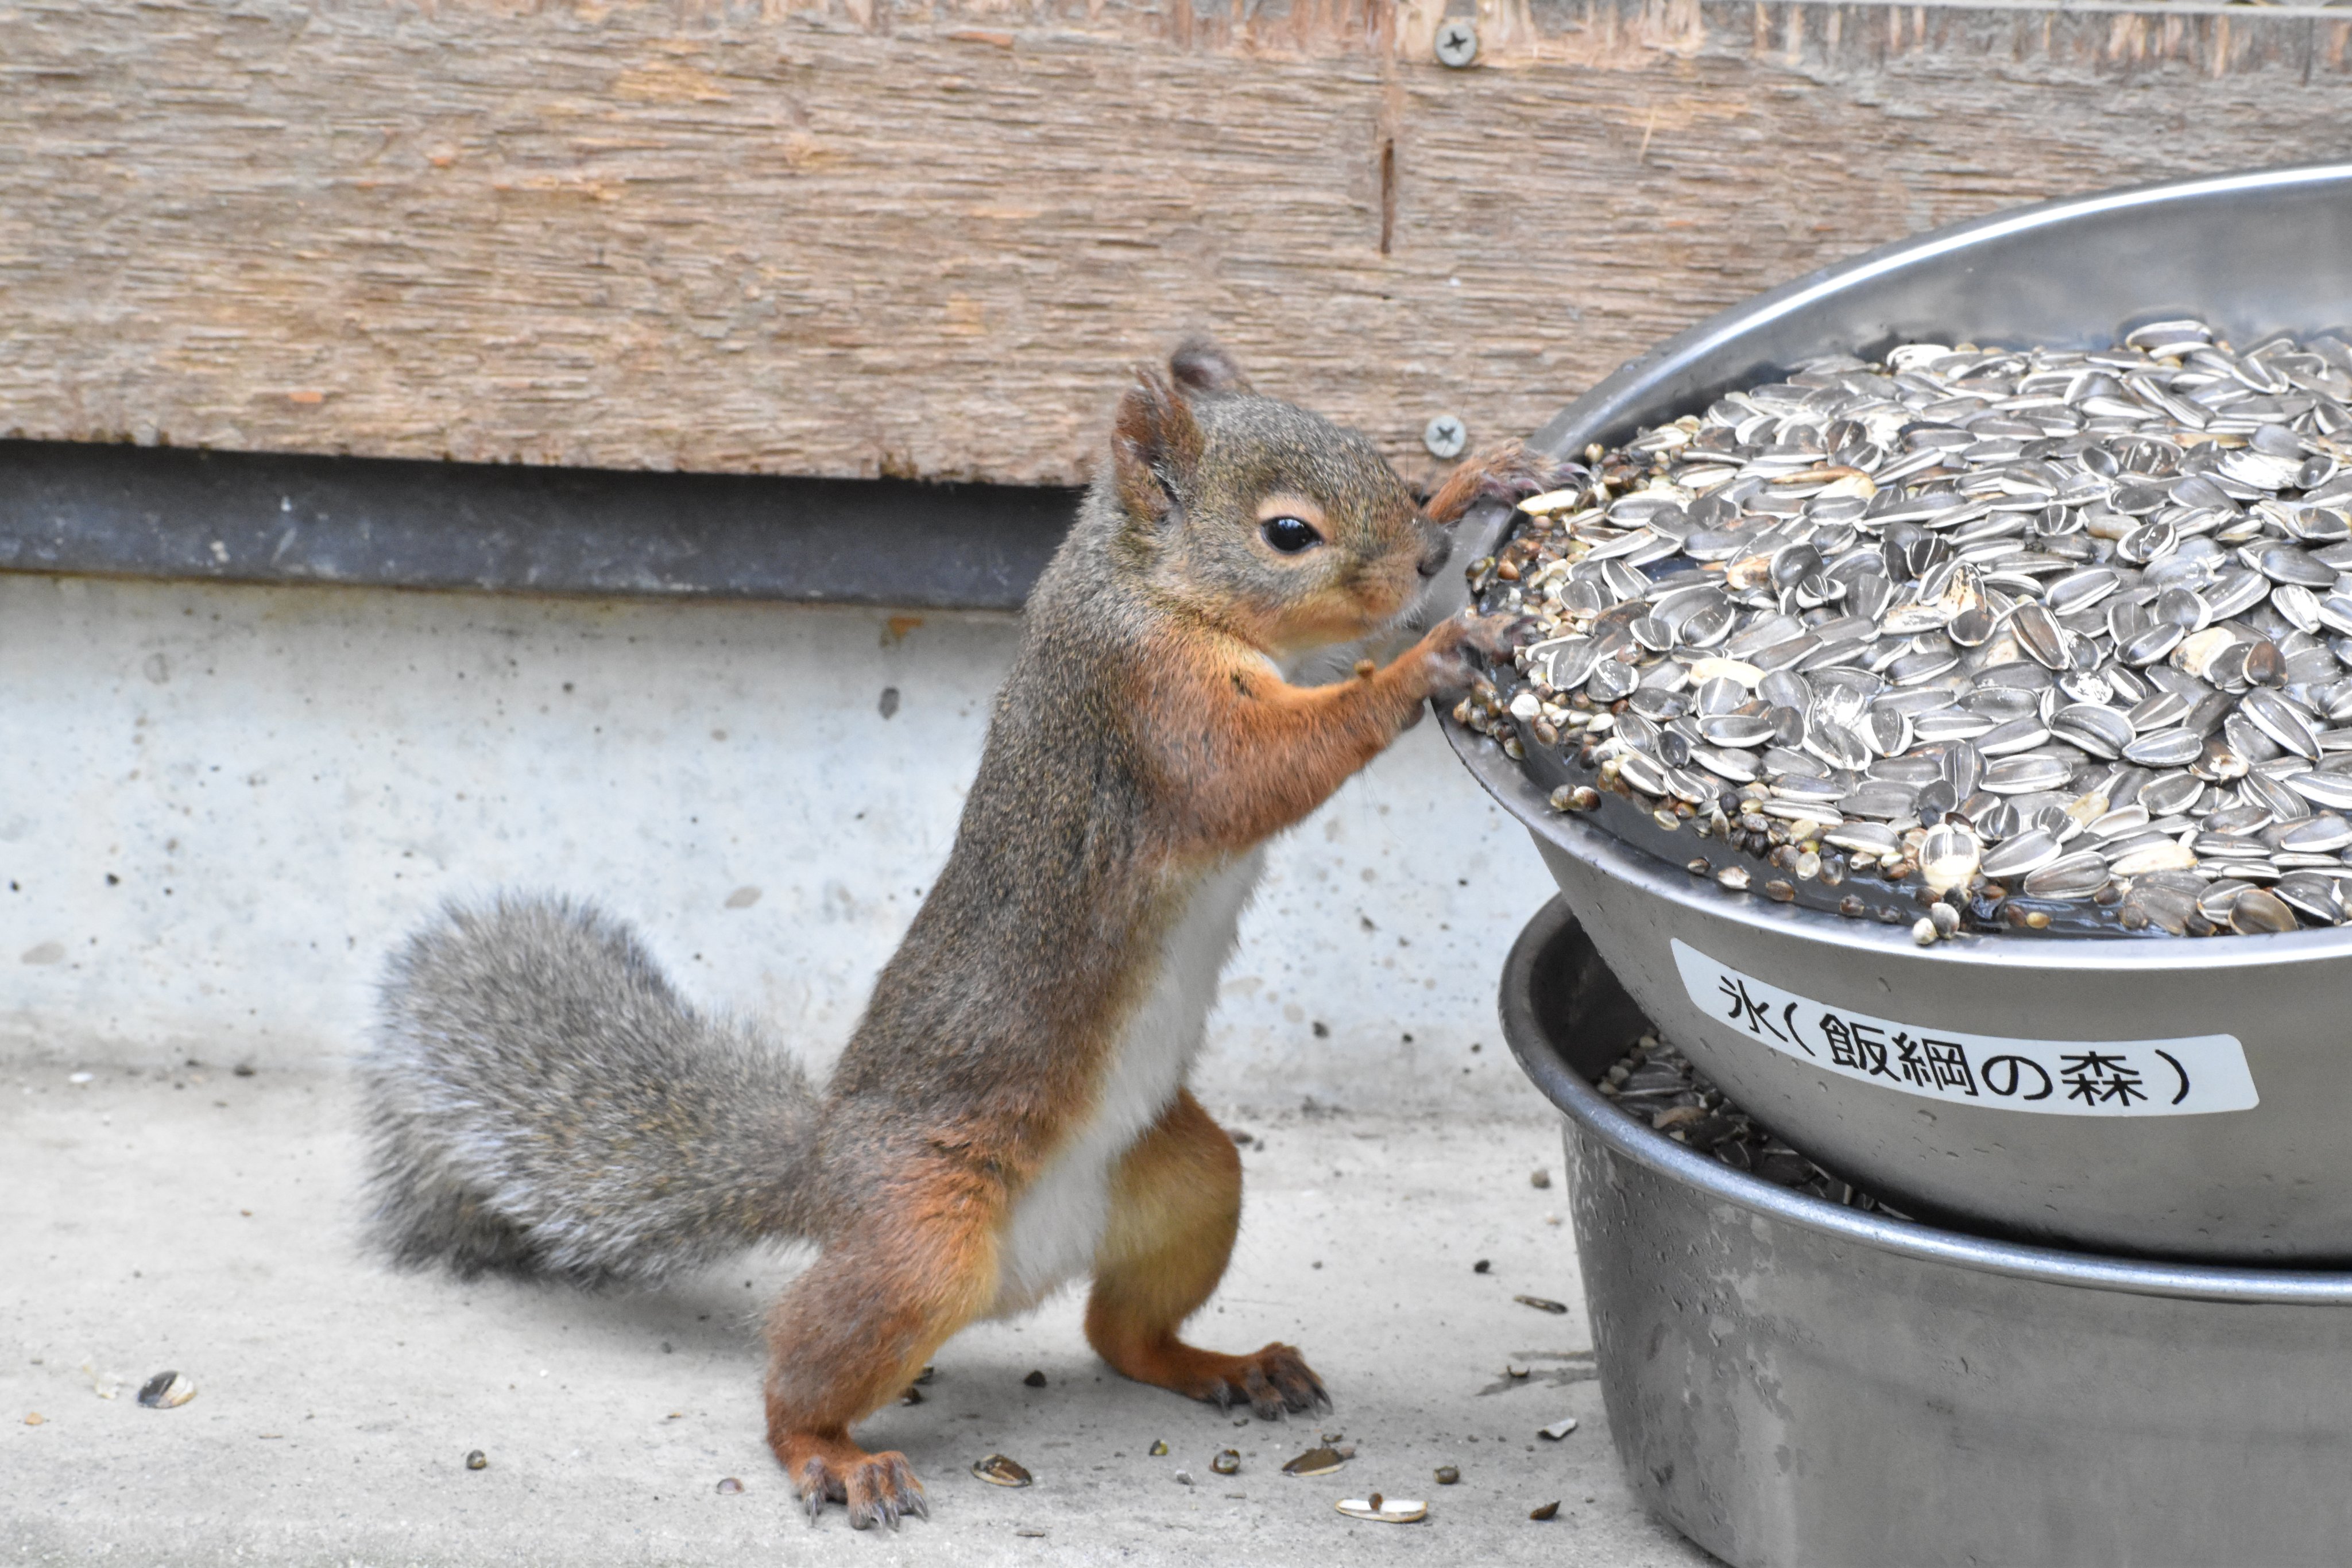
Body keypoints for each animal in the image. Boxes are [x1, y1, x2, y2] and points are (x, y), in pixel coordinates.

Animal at [357, 338, 1571, 1523]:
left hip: (1188, 1178)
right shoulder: (1149, 710)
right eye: (1287, 533)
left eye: (1378, 457)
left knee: (1120, 1336)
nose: (1427, 555)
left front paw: (1479, 480)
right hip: (921, 1244)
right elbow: (1260, 768)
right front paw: (1429, 658)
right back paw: (832, 1459)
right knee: (801, 1371)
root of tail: (821, 1171)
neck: (1139, 583)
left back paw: (1222, 1366)